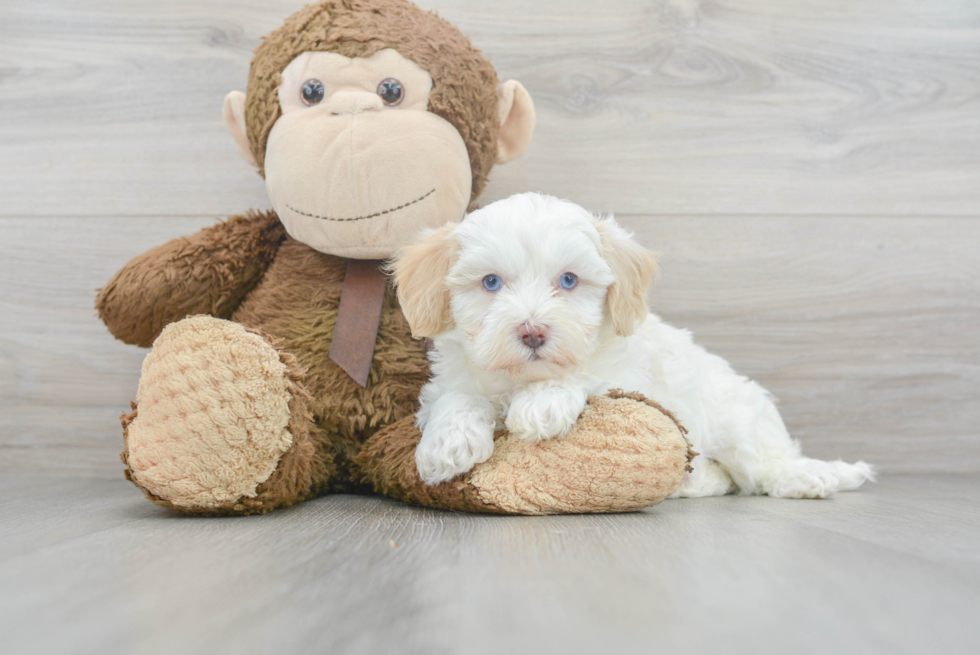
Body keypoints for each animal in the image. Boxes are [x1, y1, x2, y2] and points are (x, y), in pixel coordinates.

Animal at [390, 192, 872, 500]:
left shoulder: (628, 378)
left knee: (764, 465)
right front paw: (447, 443)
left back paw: (806, 479)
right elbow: (457, 397)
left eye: (569, 280)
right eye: (490, 282)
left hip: (739, 422)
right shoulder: (448, 383)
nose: (532, 332)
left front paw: (542, 403)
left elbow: (585, 374)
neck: (520, 378)